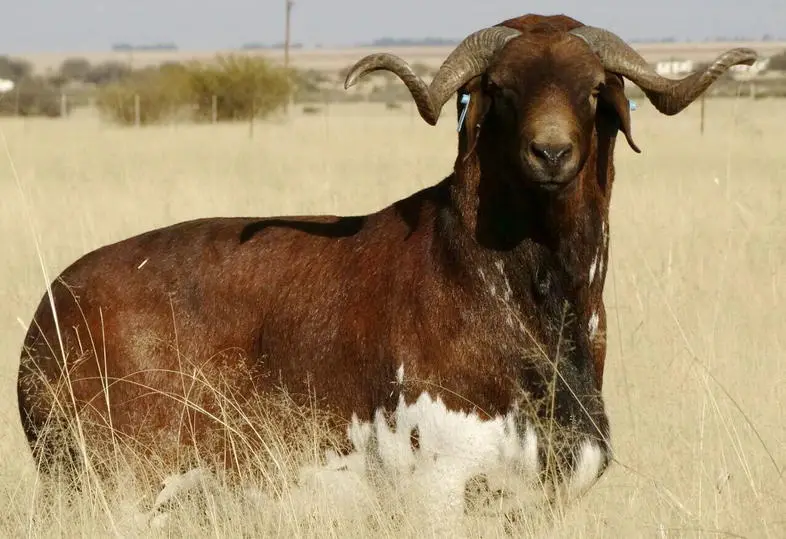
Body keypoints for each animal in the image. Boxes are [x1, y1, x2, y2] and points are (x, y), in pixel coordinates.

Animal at [17, 13, 754, 528]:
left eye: (595, 88)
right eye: (502, 89)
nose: (550, 153)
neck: (521, 294)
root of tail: (49, 311)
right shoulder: (435, 491)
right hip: (117, 487)